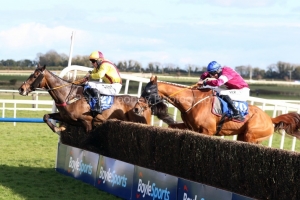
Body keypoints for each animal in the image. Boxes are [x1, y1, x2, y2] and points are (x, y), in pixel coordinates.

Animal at [17, 65, 151, 134]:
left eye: (35, 75)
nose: (21, 88)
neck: (69, 95)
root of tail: (144, 103)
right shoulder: (66, 117)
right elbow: (46, 116)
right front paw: (58, 128)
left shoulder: (87, 121)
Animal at [134, 76, 300, 143]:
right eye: (142, 90)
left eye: (147, 92)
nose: (136, 109)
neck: (192, 101)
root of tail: (270, 118)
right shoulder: (190, 127)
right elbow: (173, 126)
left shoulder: (208, 131)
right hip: (243, 136)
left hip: (251, 135)